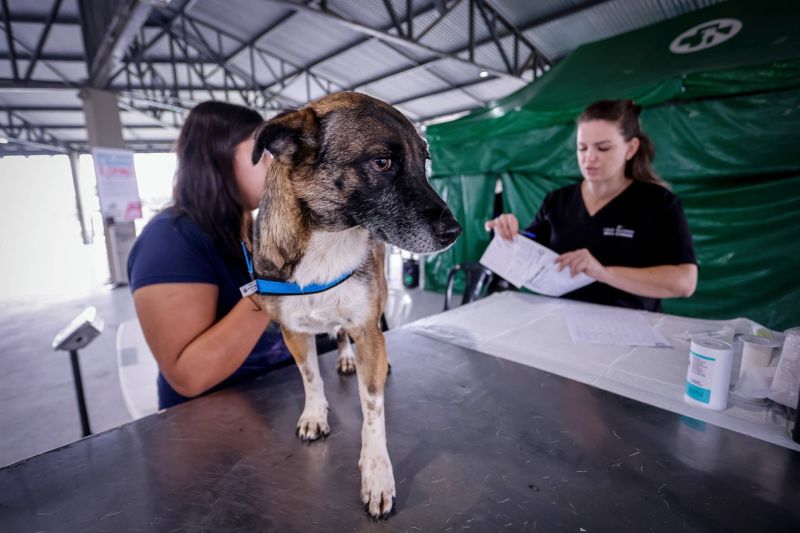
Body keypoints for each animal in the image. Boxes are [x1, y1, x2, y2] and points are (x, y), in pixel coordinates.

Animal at [250, 90, 462, 516]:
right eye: (382, 162)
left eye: (425, 161)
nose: (455, 230)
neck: (327, 239)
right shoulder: (293, 331)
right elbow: (310, 377)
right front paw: (314, 414)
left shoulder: (366, 329)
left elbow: (372, 408)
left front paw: (377, 473)